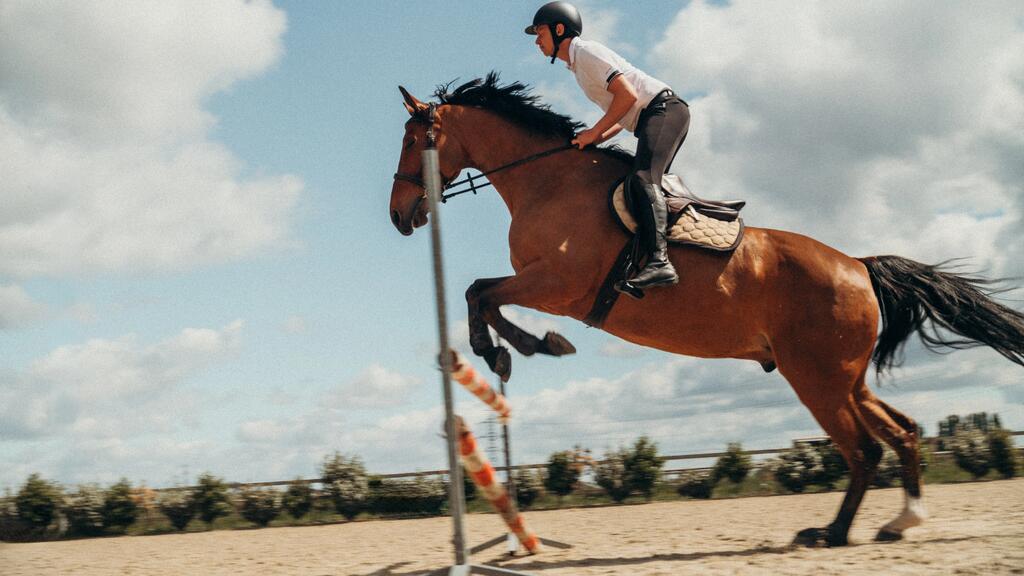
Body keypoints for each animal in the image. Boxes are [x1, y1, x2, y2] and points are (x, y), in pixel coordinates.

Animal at [388, 74, 1024, 547]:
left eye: (412, 139)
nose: (400, 216)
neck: (546, 181)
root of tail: (859, 266)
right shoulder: (543, 286)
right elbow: (483, 294)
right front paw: (516, 351)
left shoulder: (557, 285)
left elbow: (481, 292)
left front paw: (513, 348)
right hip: (845, 378)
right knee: (903, 432)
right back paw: (901, 520)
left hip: (815, 378)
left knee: (864, 449)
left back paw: (834, 533)